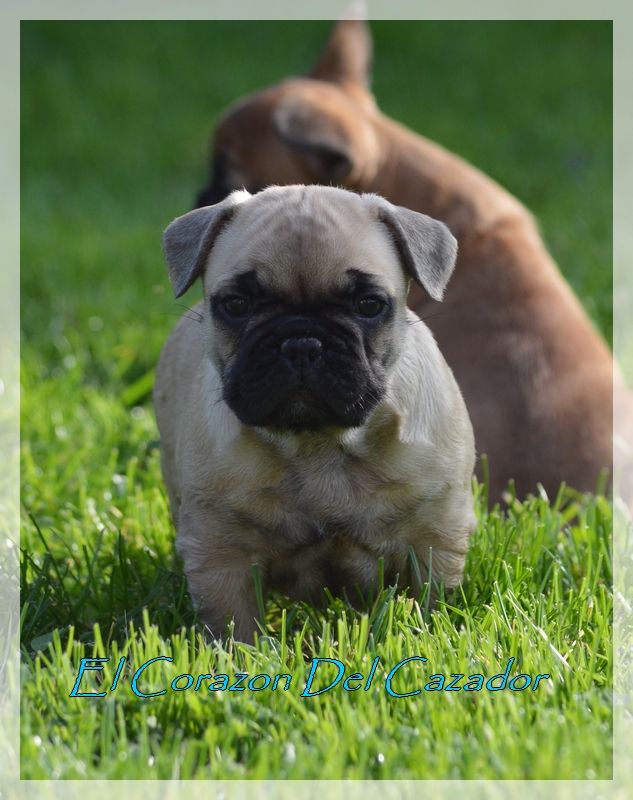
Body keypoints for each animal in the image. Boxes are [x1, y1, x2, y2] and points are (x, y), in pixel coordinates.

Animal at [154, 185, 476, 641]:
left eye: (369, 304)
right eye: (236, 304)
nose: (302, 342)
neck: (319, 444)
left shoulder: (434, 537)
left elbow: (430, 606)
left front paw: (428, 639)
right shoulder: (221, 555)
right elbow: (236, 627)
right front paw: (245, 656)